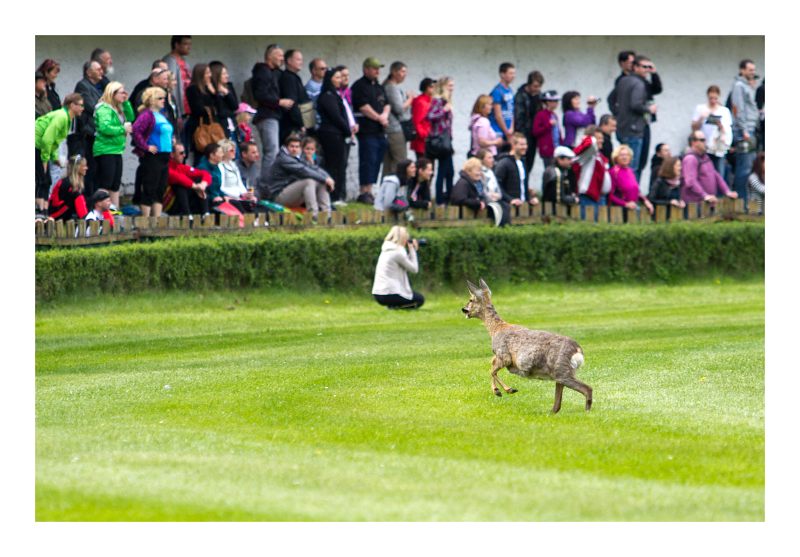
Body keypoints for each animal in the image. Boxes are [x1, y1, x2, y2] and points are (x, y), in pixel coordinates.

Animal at [462, 280, 592, 410]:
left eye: (471, 299)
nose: (463, 309)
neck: (495, 329)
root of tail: (578, 351)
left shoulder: (504, 355)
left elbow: (492, 370)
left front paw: (503, 391)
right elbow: (492, 365)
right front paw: (504, 390)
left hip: (561, 370)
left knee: (587, 389)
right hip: (560, 374)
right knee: (558, 403)